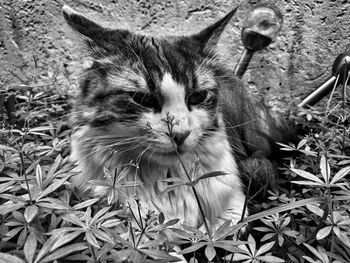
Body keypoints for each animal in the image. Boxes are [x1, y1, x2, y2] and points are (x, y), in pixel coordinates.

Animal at [63, 4, 296, 231]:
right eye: (142, 99)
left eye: (197, 97)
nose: (180, 134)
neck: (166, 180)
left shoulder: (235, 201)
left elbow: (223, 228)